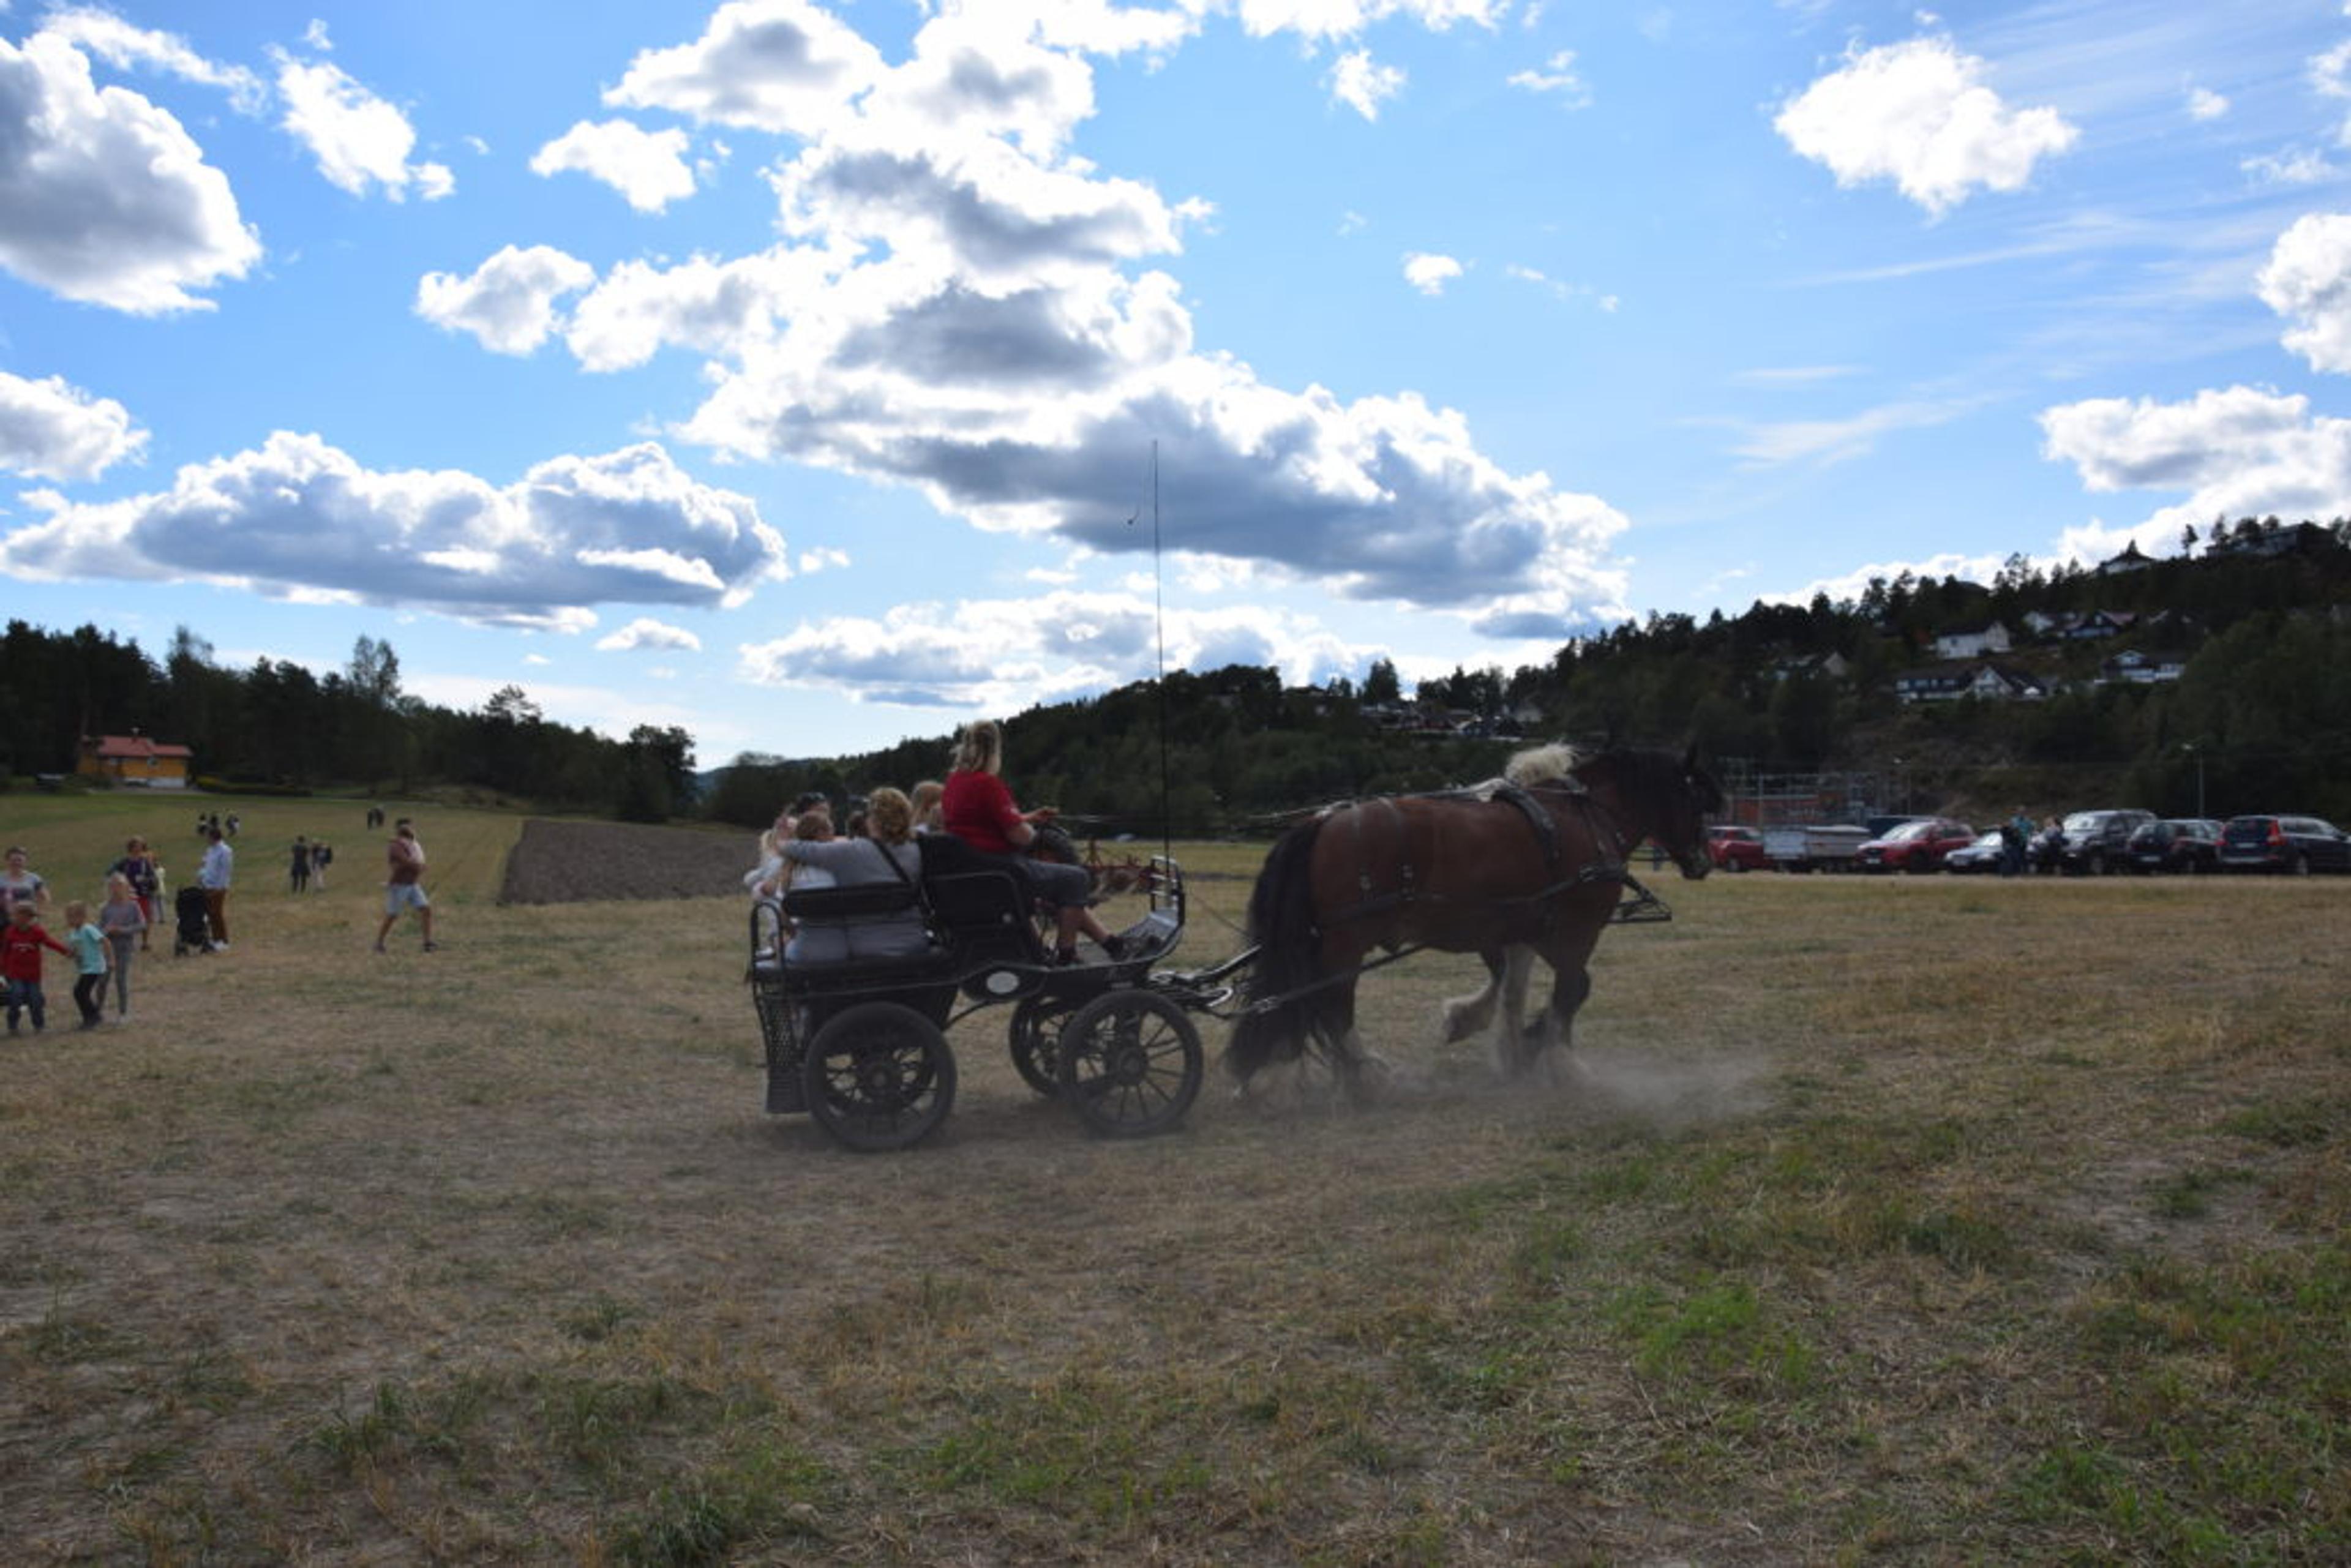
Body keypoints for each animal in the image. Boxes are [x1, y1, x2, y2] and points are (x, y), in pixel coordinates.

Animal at [1224, 744, 1721, 1091]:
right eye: (1696, 800)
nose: (1704, 862)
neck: (1584, 817)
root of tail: (1322, 822)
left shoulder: (1518, 928)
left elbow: (1511, 990)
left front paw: (1505, 1044)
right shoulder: (1575, 932)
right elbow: (1574, 990)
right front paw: (1560, 1059)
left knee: (1302, 999)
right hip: (1346, 941)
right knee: (1332, 1003)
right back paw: (1366, 1074)